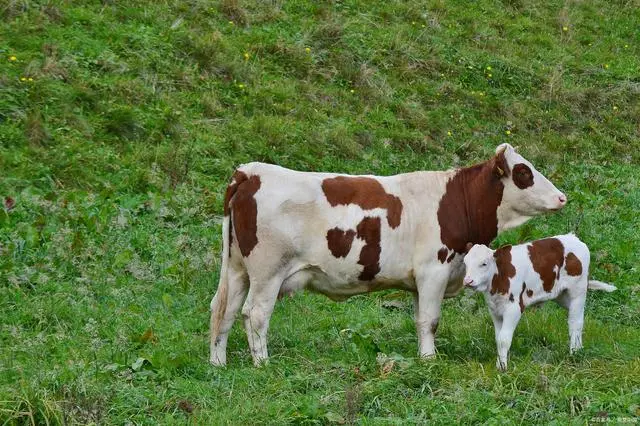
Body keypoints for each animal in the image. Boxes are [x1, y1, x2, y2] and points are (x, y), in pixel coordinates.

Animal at [209, 143, 564, 366]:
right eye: (524, 173)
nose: (562, 197)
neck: (452, 201)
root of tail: (250, 171)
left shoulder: (421, 279)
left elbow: (420, 319)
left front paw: (423, 357)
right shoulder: (434, 270)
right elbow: (431, 320)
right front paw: (430, 360)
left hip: (238, 269)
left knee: (223, 310)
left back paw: (218, 363)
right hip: (268, 271)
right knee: (255, 314)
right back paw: (262, 363)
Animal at [462, 235, 616, 372]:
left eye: (484, 263)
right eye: (465, 263)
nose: (468, 281)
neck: (499, 279)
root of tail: (574, 237)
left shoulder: (514, 308)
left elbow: (504, 339)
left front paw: (503, 368)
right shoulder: (495, 310)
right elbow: (498, 338)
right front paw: (499, 364)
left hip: (577, 290)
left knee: (575, 322)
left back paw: (574, 353)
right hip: (561, 295)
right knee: (578, 316)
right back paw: (579, 348)